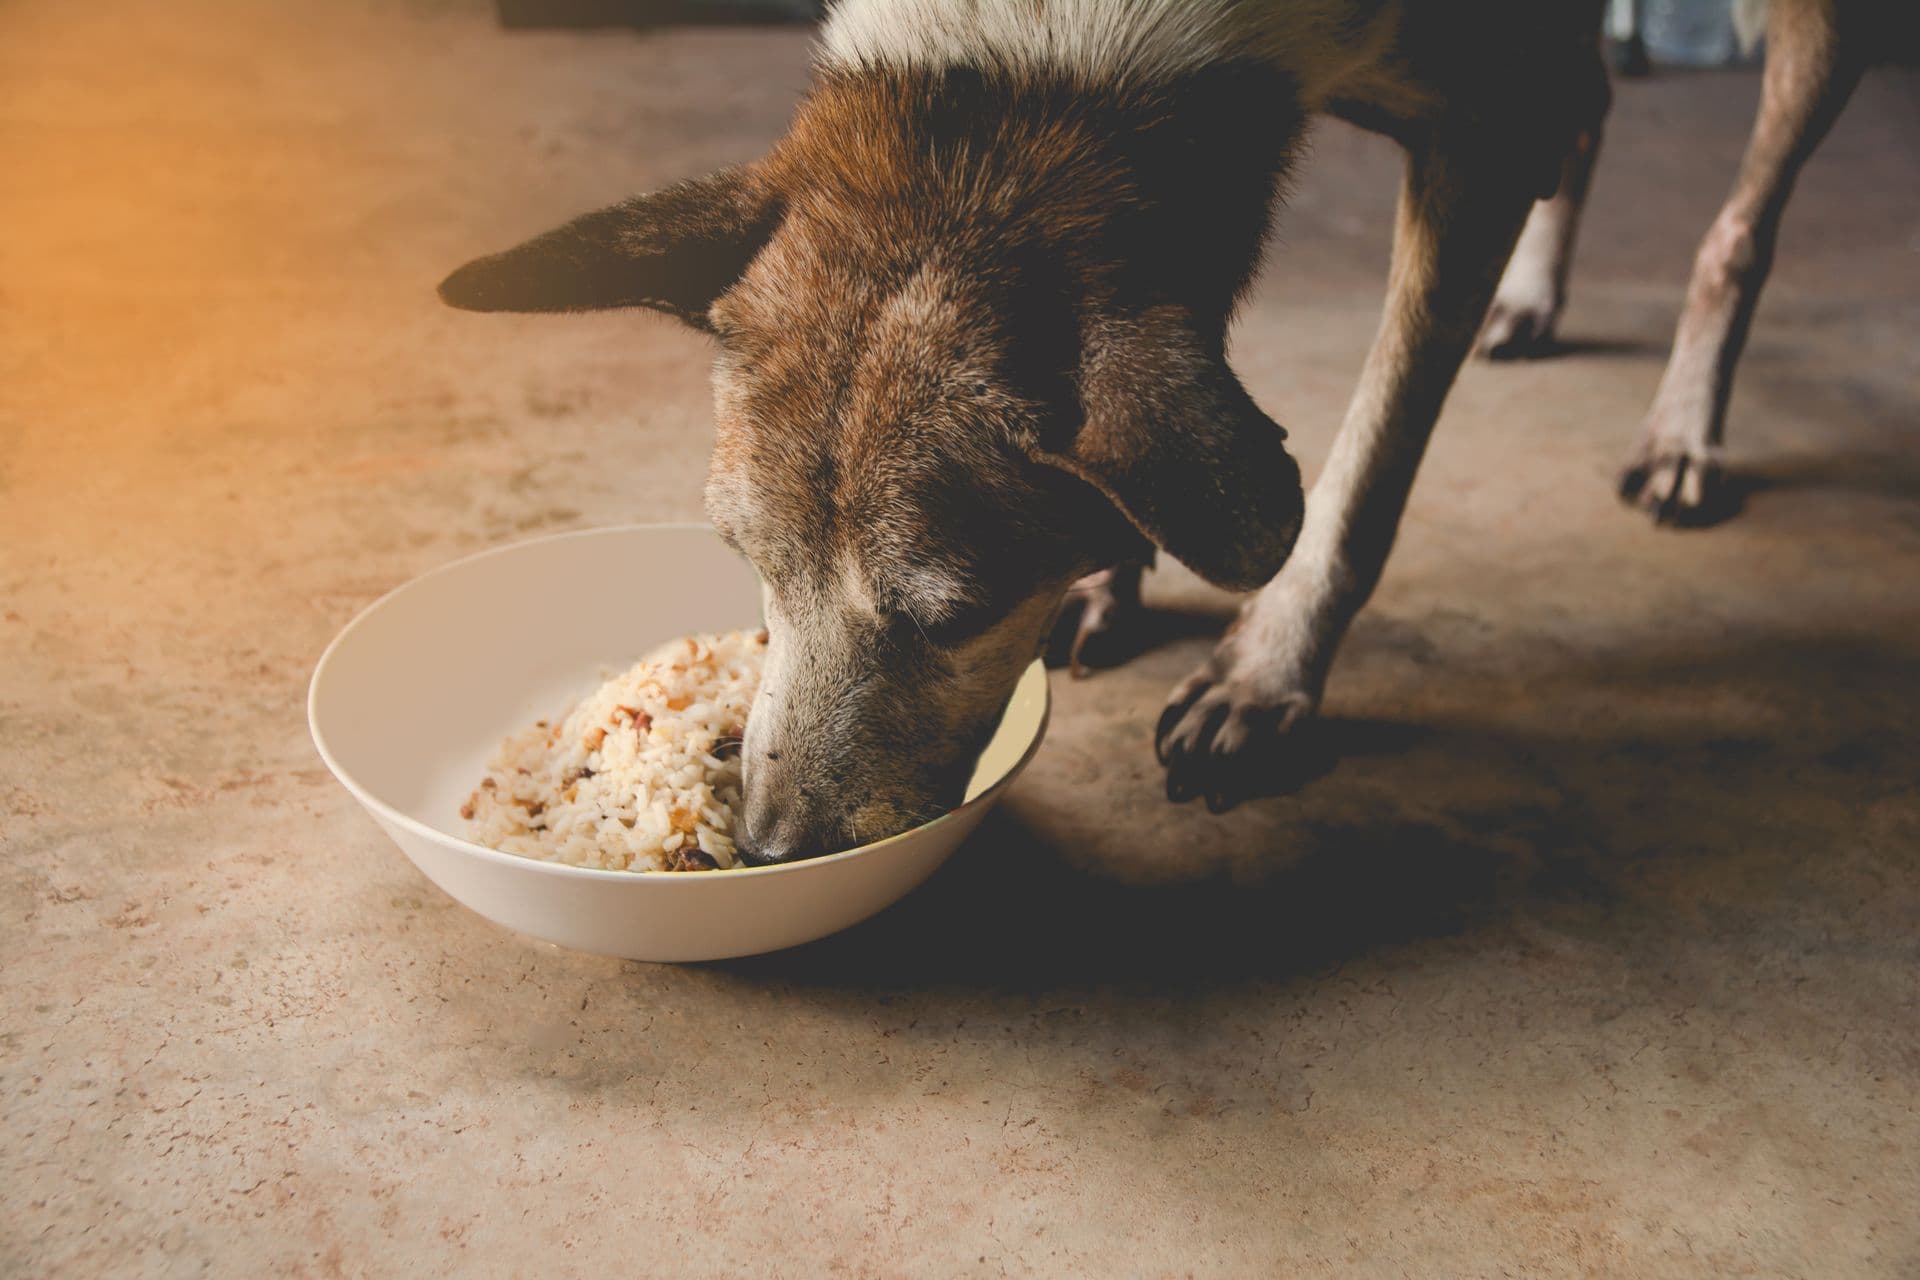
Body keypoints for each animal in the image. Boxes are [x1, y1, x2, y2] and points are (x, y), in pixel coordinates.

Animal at [441, 2, 1896, 859]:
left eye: (954, 617)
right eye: (748, 567)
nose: (767, 852)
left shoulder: (1474, 129)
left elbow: (1363, 470)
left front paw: (1266, 671)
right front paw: (1115, 574)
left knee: (1737, 222)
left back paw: (1685, 428)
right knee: (1590, 108)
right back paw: (1538, 298)